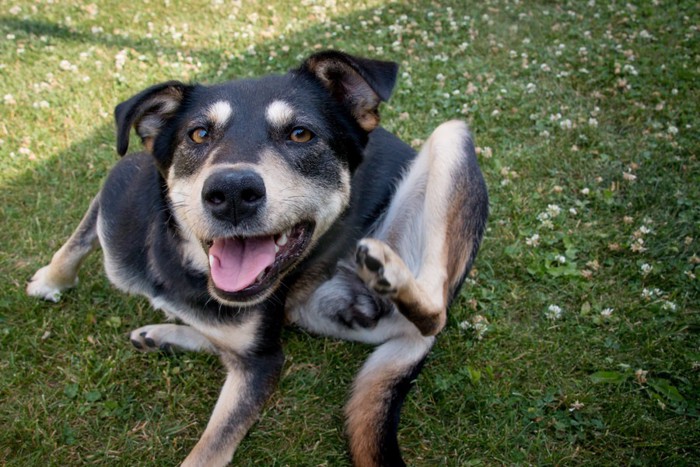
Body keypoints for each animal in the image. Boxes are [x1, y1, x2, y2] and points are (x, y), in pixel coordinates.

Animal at [26, 49, 486, 466]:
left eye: (300, 134)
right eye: (198, 134)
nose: (232, 192)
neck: (185, 268)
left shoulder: (263, 365)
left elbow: (210, 449)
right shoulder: (112, 196)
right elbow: (76, 240)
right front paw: (50, 279)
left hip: (452, 138)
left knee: (436, 312)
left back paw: (388, 270)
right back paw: (164, 334)